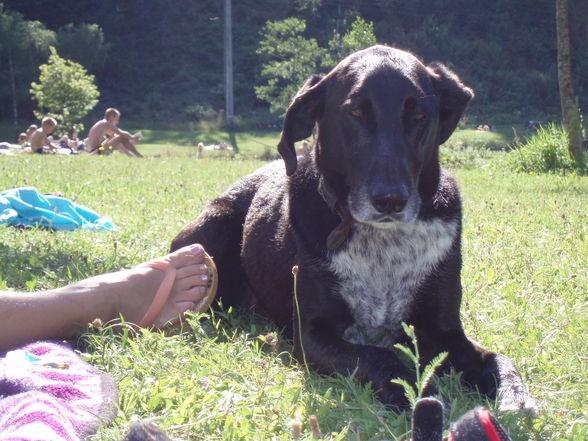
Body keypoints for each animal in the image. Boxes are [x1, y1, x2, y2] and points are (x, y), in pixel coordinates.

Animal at [171, 45, 536, 412]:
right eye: (356, 112)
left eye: (419, 116)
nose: (390, 200)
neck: (385, 243)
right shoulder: (313, 335)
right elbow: (377, 357)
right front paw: (417, 389)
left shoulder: (446, 331)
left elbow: (496, 358)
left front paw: (512, 391)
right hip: (213, 227)